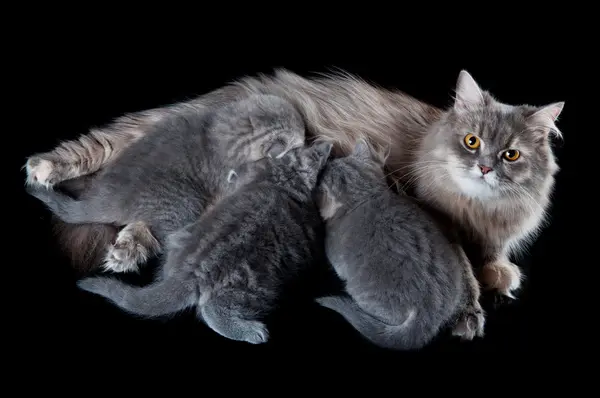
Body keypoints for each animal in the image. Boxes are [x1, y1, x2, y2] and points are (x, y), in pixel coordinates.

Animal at [70, 141, 332, 344]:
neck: (281, 180)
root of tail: (190, 272)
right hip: (260, 287)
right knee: (212, 309)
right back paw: (253, 332)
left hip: (179, 239)